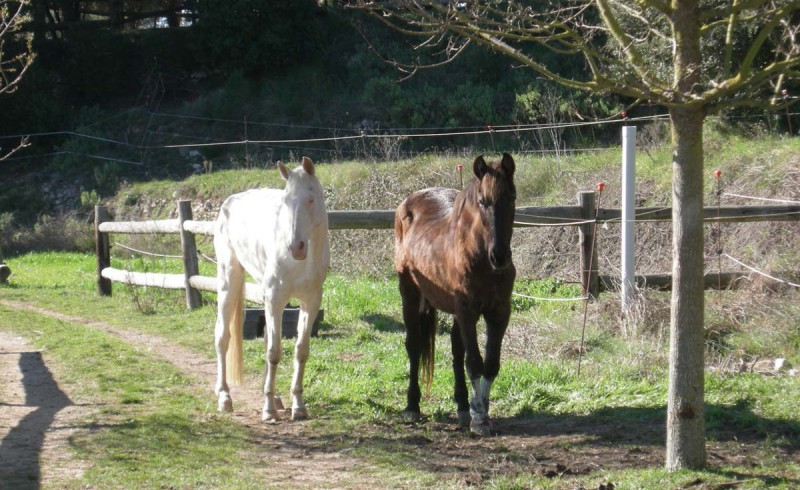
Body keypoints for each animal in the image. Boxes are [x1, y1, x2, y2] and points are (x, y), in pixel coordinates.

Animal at [212, 157, 328, 422]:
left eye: (311, 198)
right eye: (286, 201)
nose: (296, 247)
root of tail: (228, 203)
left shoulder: (310, 302)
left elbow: (300, 351)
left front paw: (298, 405)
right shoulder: (276, 299)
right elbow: (274, 352)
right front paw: (268, 411)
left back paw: (276, 398)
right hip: (228, 281)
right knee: (223, 336)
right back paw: (224, 397)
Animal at [394, 154, 520, 436]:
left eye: (512, 197)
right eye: (483, 202)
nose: (499, 256)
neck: (480, 259)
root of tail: (407, 203)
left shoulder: (499, 312)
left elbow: (490, 364)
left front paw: (479, 409)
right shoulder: (467, 310)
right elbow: (474, 361)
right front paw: (480, 418)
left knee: (455, 351)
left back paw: (462, 406)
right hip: (409, 291)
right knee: (414, 345)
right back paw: (411, 406)